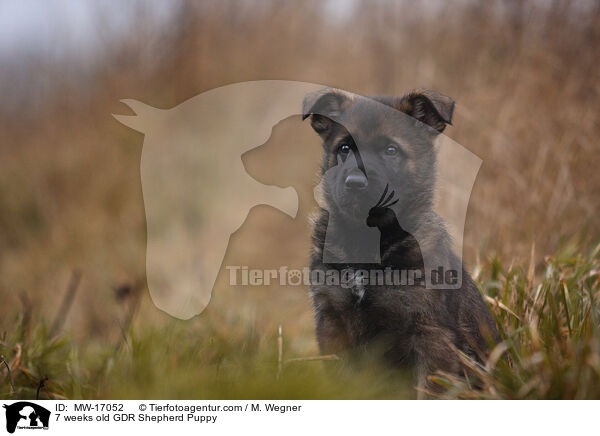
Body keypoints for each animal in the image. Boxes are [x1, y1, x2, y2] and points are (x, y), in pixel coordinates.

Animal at [302, 87, 500, 394]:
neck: (367, 239)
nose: (355, 182)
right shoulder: (333, 323)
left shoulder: (428, 331)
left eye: (391, 150)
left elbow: (430, 392)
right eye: (344, 149)